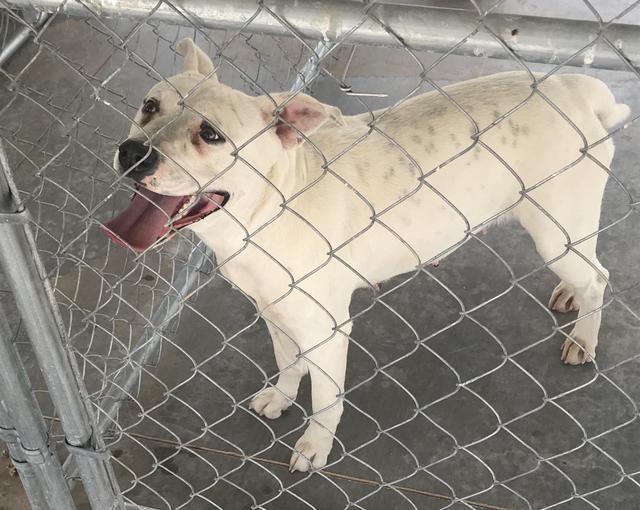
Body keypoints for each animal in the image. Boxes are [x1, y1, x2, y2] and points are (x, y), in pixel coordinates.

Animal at [105, 37, 632, 472]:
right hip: (563, 236)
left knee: (600, 276)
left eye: (211, 134)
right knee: (586, 270)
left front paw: (314, 446)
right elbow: (287, 361)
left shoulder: (329, 330)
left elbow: (326, 400)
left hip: (554, 232)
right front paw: (280, 396)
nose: (133, 153)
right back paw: (570, 295)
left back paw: (584, 337)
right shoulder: (274, 310)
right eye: (150, 105)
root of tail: (575, 87)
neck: (267, 210)